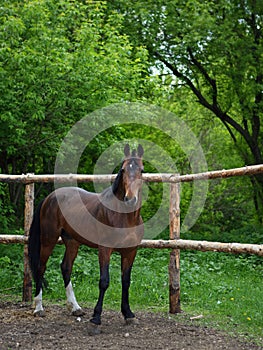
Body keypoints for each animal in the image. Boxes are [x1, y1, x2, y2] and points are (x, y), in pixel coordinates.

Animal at [28, 144, 144, 326]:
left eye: (142, 170)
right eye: (123, 170)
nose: (130, 199)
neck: (125, 218)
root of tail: (50, 197)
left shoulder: (130, 251)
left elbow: (126, 281)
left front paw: (128, 314)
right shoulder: (104, 250)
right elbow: (104, 281)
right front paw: (96, 316)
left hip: (72, 242)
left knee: (66, 267)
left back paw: (75, 307)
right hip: (48, 239)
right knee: (41, 267)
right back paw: (39, 308)